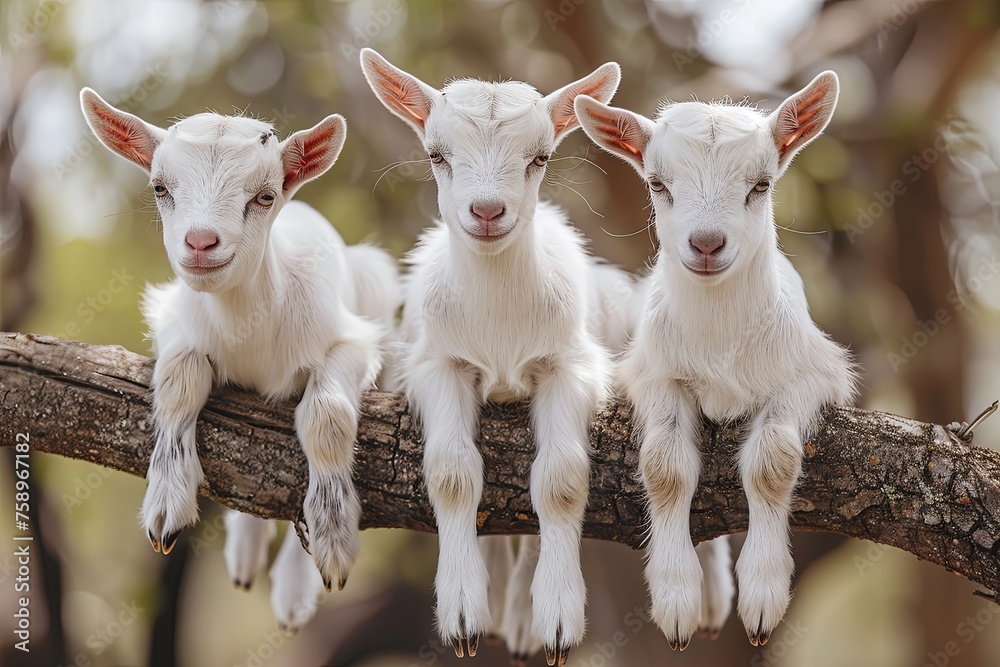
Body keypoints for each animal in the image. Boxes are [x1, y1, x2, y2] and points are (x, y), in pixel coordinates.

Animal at [80, 89, 400, 629]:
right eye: (160, 187)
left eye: (264, 196)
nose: (201, 242)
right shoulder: (174, 317)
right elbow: (178, 383)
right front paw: (166, 506)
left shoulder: (354, 341)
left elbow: (327, 416)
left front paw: (334, 541)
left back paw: (293, 592)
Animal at [360, 49, 625, 665]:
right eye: (437, 154)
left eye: (540, 157)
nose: (486, 211)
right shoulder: (438, 364)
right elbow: (453, 473)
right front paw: (463, 614)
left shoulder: (569, 364)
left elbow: (560, 478)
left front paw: (557, 617)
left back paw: (527, 623)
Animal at [575, 71, 855, 649]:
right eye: (657, 183)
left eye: (761, 185)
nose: (706, 245)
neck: (720, 341)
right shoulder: (653, 373)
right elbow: (665, 467)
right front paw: (676, 598)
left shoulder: (812, 373)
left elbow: (773, 461)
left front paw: (763, 597)